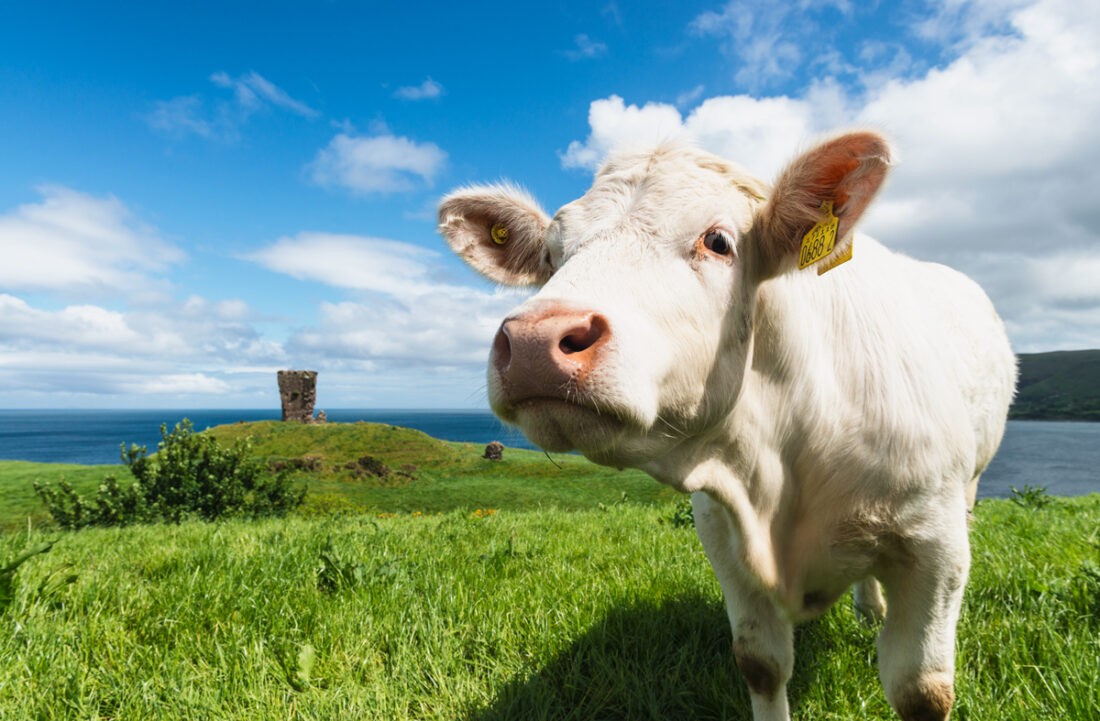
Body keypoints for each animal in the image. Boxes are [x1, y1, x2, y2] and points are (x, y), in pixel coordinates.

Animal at [435, 130, 1012, 721]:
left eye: (717, 241)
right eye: (551, 256)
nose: (532, 342)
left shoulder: (934, 543)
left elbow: (921, 691)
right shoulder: (721, 531)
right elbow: (761, 663)